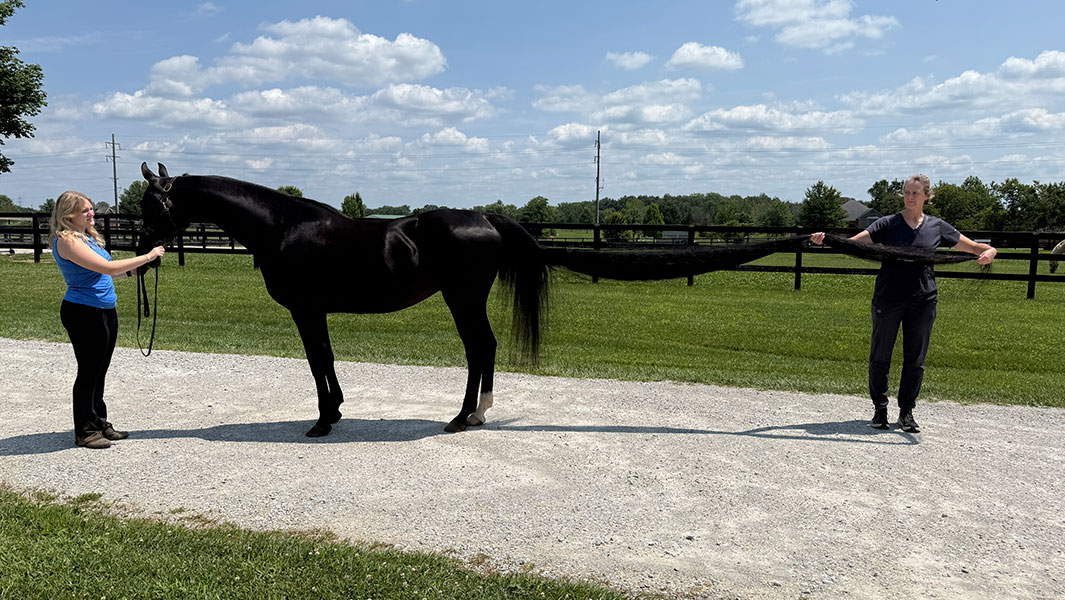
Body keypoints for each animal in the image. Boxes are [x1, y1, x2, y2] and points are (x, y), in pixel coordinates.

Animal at [135, 163, 806, 437]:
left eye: (151, 204)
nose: (142, 248)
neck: (283, 226)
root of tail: (486, 218)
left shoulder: (307, 310)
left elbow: (318, 363)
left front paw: (324, 421)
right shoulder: (315, 312)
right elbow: (325, 363)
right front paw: (336, 413)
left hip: (463, 298)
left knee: (479, 347)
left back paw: (464, 417)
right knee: (484, 349)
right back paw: (474, 414)